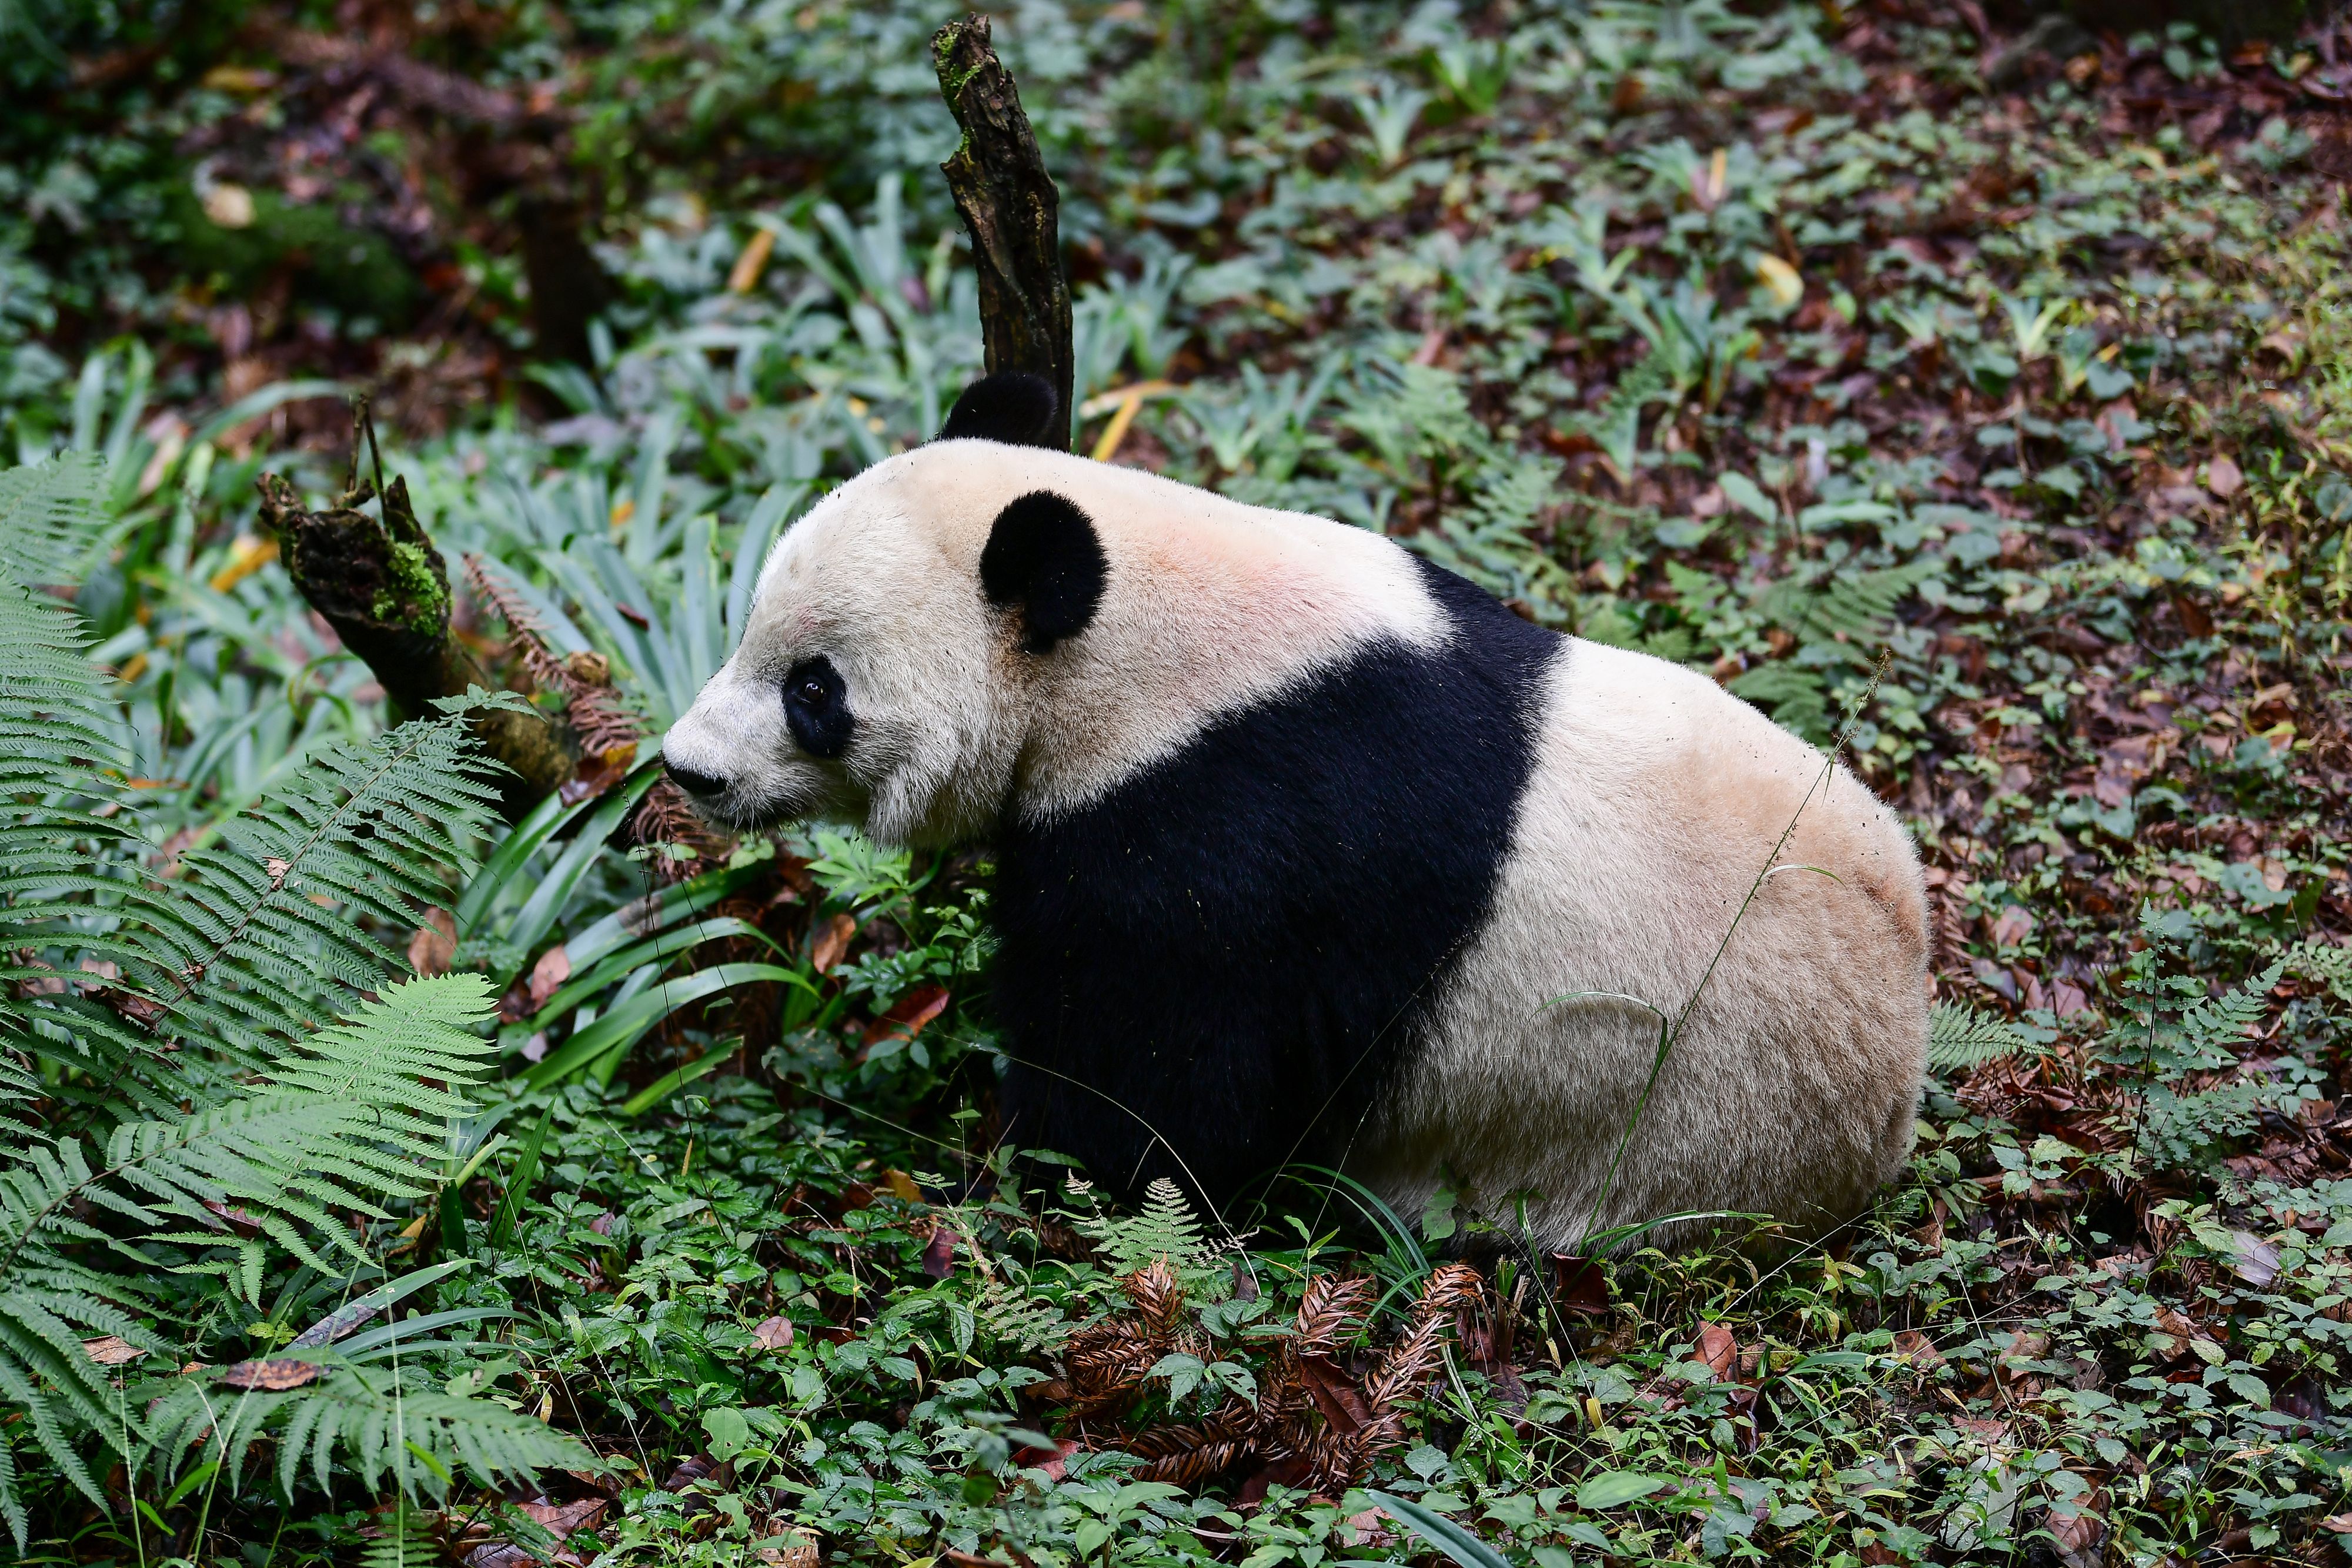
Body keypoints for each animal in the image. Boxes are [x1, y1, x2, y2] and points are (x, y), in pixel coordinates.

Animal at [663, 371, 1929, 1251]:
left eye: (814, 690)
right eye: (747, 629)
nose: (689, 769)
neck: (1146, 645)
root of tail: (1894, 1094)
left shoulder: (1228, 834)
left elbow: (1152, 1099)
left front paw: (1009, 1183)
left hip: (1670, 1139)